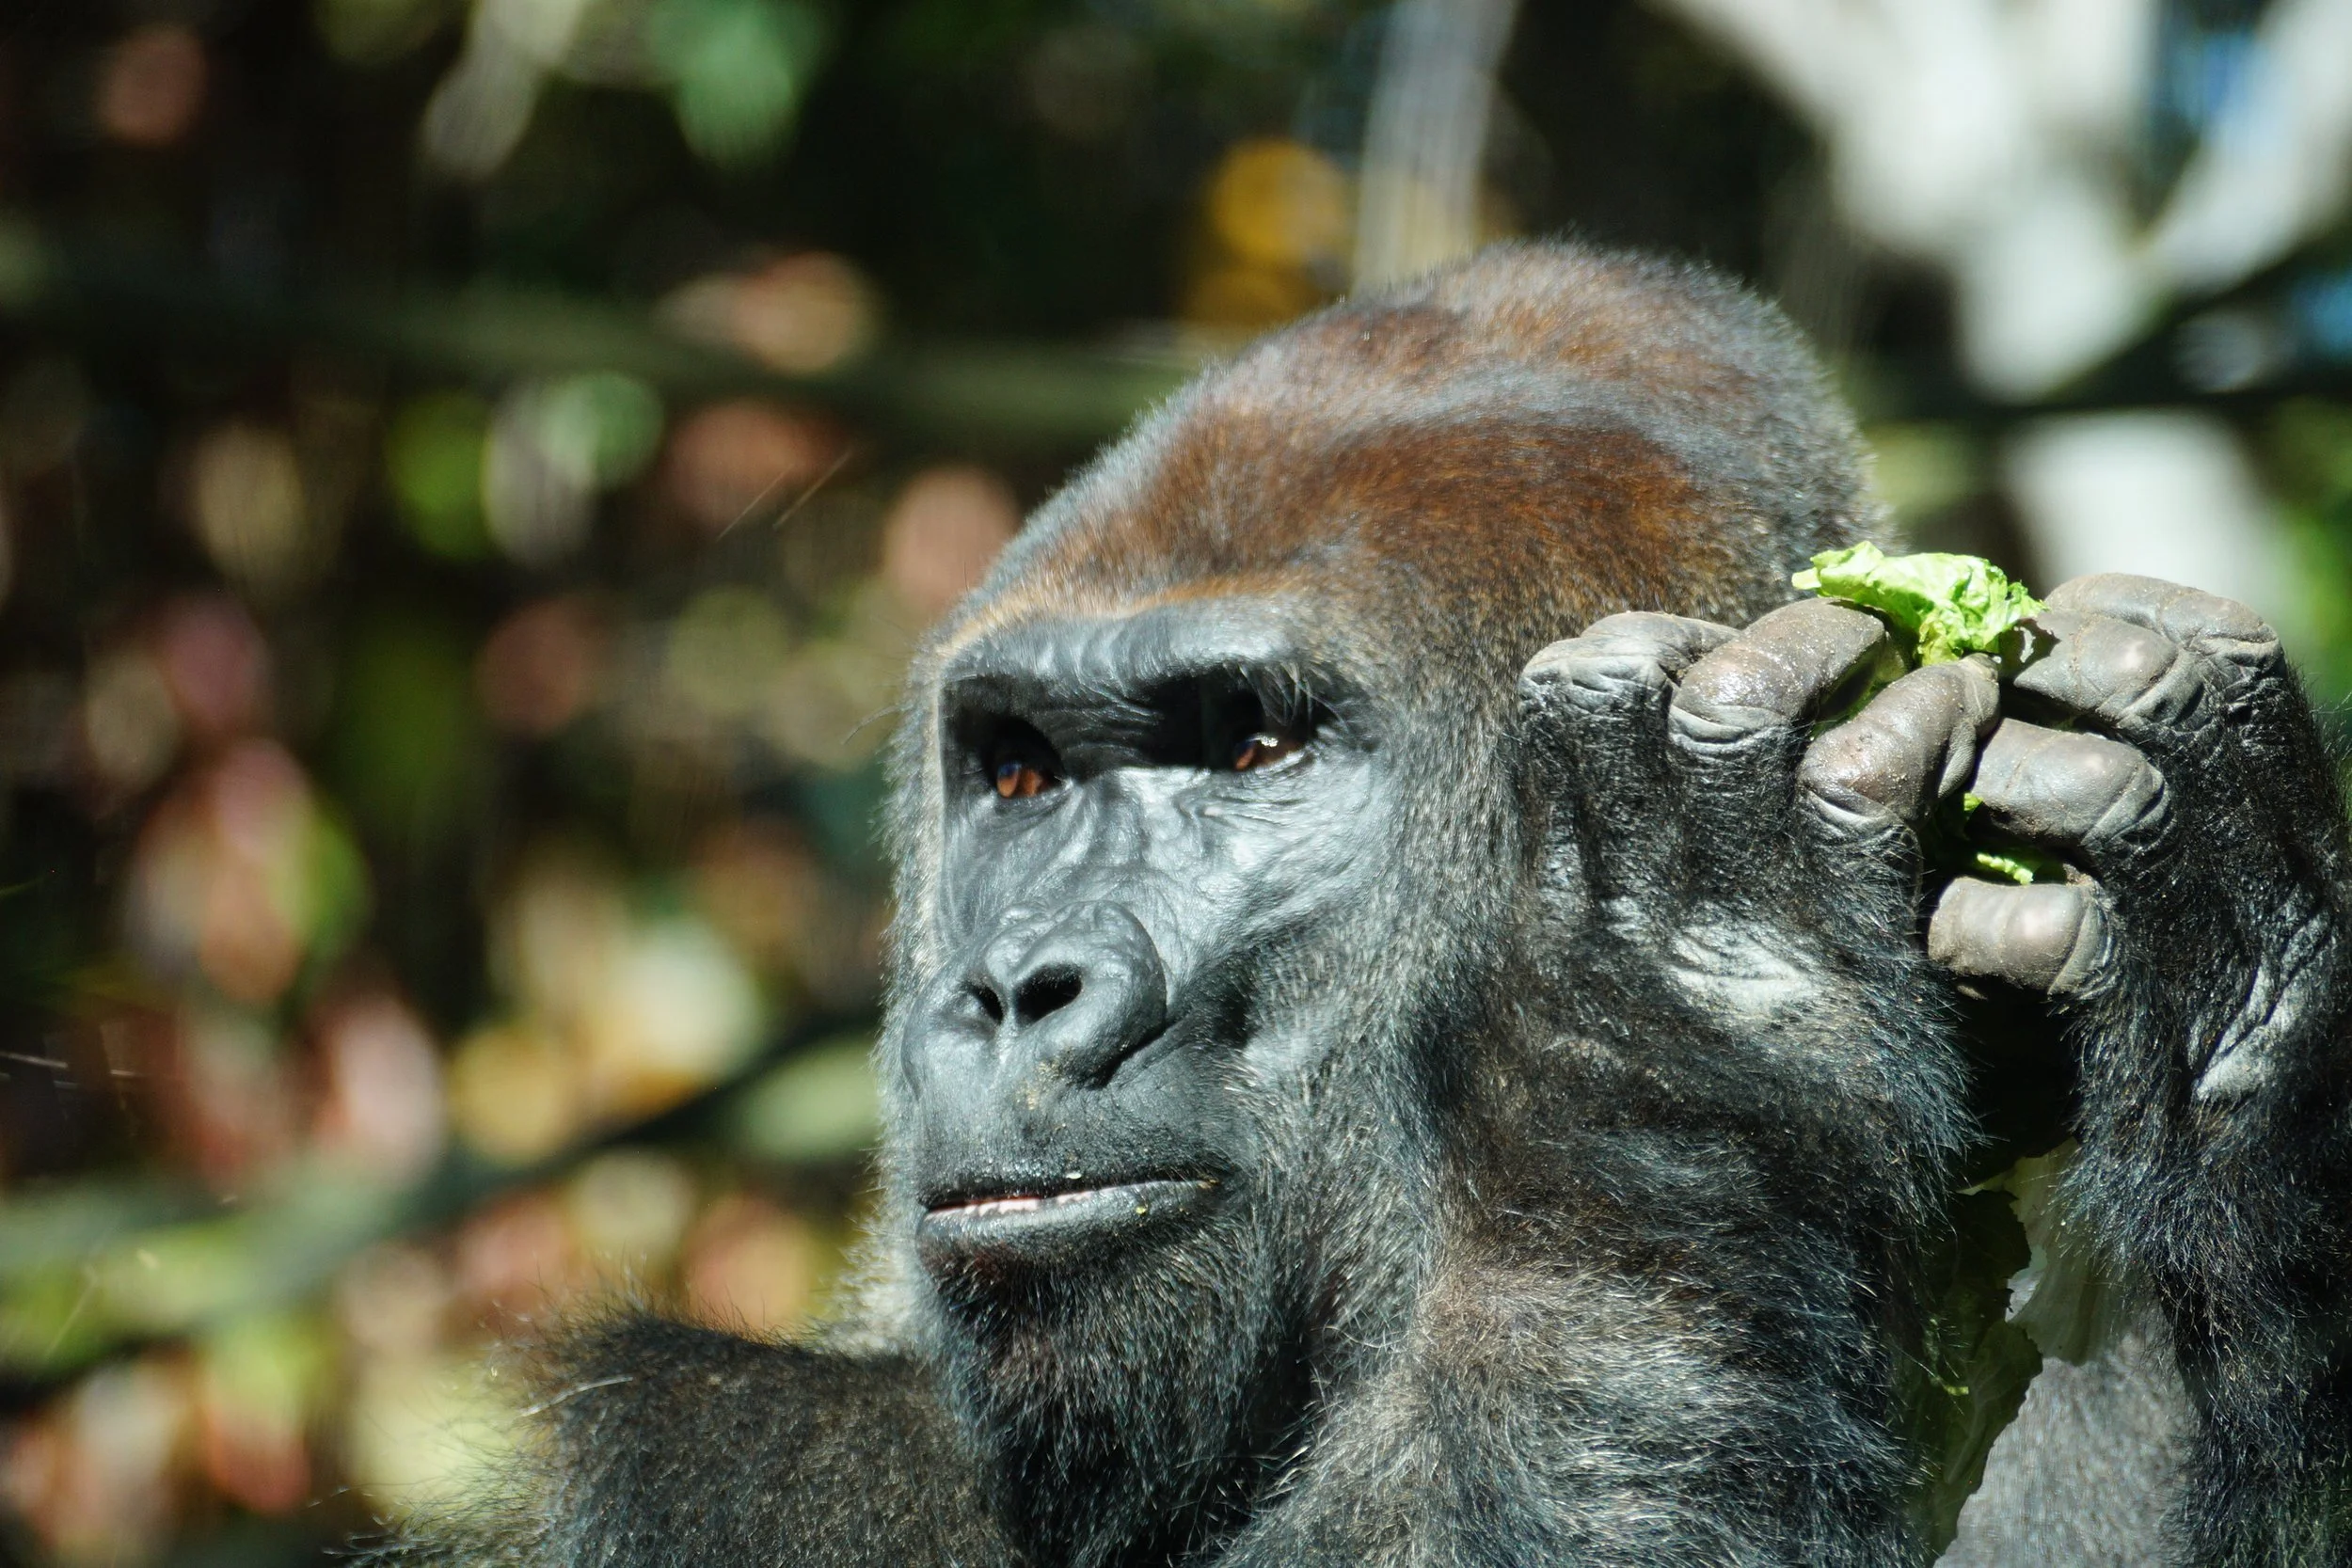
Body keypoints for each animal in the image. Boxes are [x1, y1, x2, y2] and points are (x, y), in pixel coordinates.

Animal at [370, 242, 2352, 1566]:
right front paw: (1690, 1011)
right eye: (1018, 776)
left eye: (1253, 744)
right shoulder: (679, 1448)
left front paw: (2246, 999)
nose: (1017, 988)